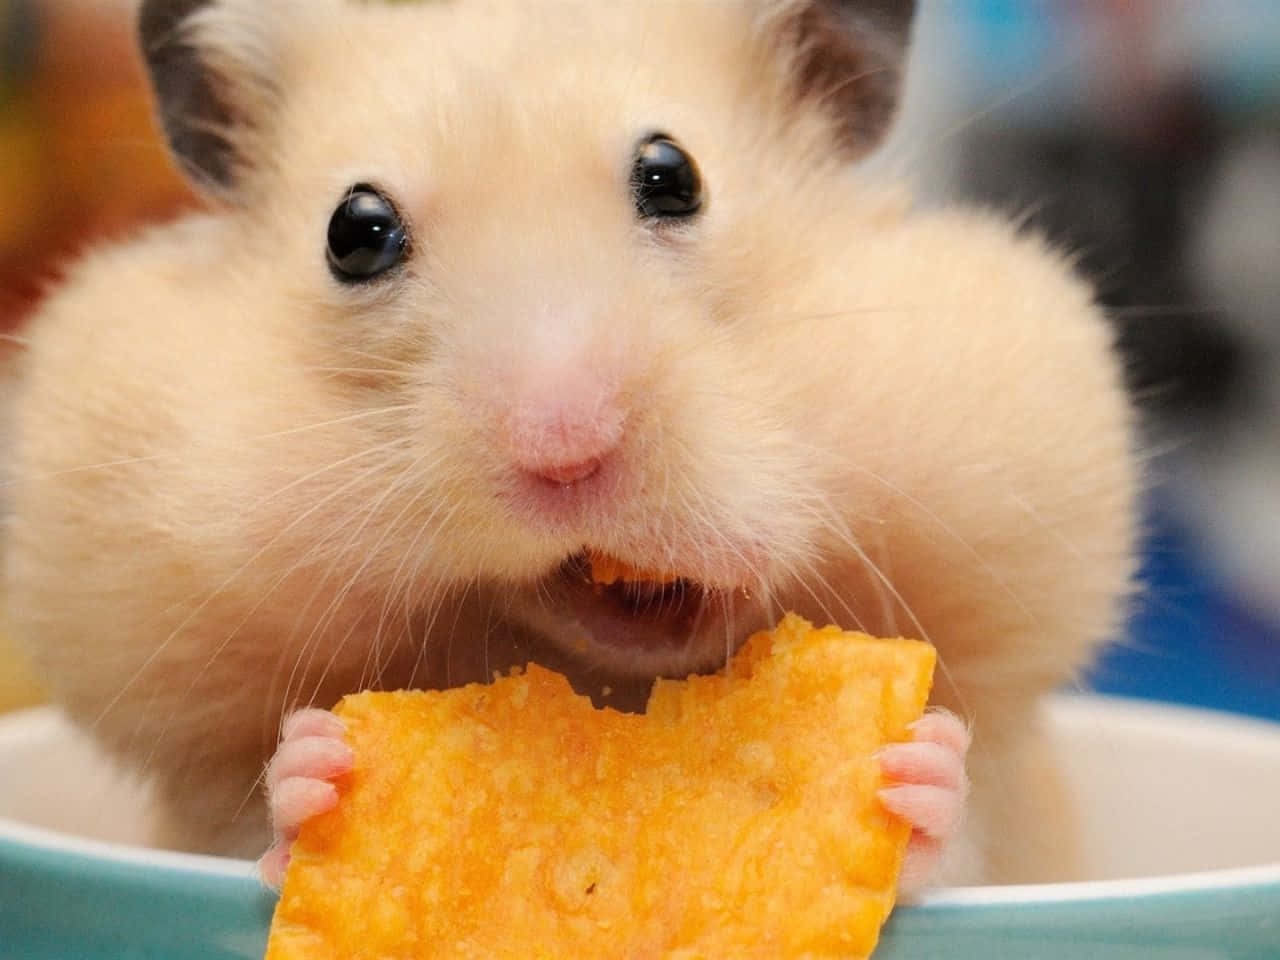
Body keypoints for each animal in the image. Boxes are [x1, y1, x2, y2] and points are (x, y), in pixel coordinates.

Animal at [3, 0, 1137, 887]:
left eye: (671, 176)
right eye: (354, 232)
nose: (562, 447)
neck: (618, 685)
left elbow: (960, 837)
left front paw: (910, 771)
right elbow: (247, 827)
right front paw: (317, 775)